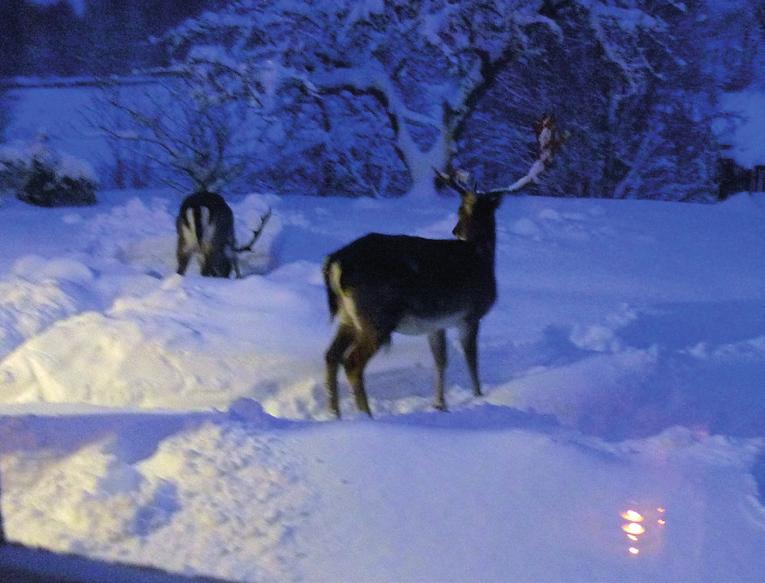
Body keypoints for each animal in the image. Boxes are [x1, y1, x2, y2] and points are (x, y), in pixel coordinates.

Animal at [322, 116, 560, 418]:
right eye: (460, 209)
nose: (456, 230)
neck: (481, 255)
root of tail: (335, 263)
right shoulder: (471, 313)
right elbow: (471, 359)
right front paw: (478, 396)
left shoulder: (437, 323)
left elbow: (441, 360)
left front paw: (440, 405)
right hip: (377, 315)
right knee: (352, 362)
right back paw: (366, 416)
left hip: (347, 315)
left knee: (330, 355)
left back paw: (335, 414)